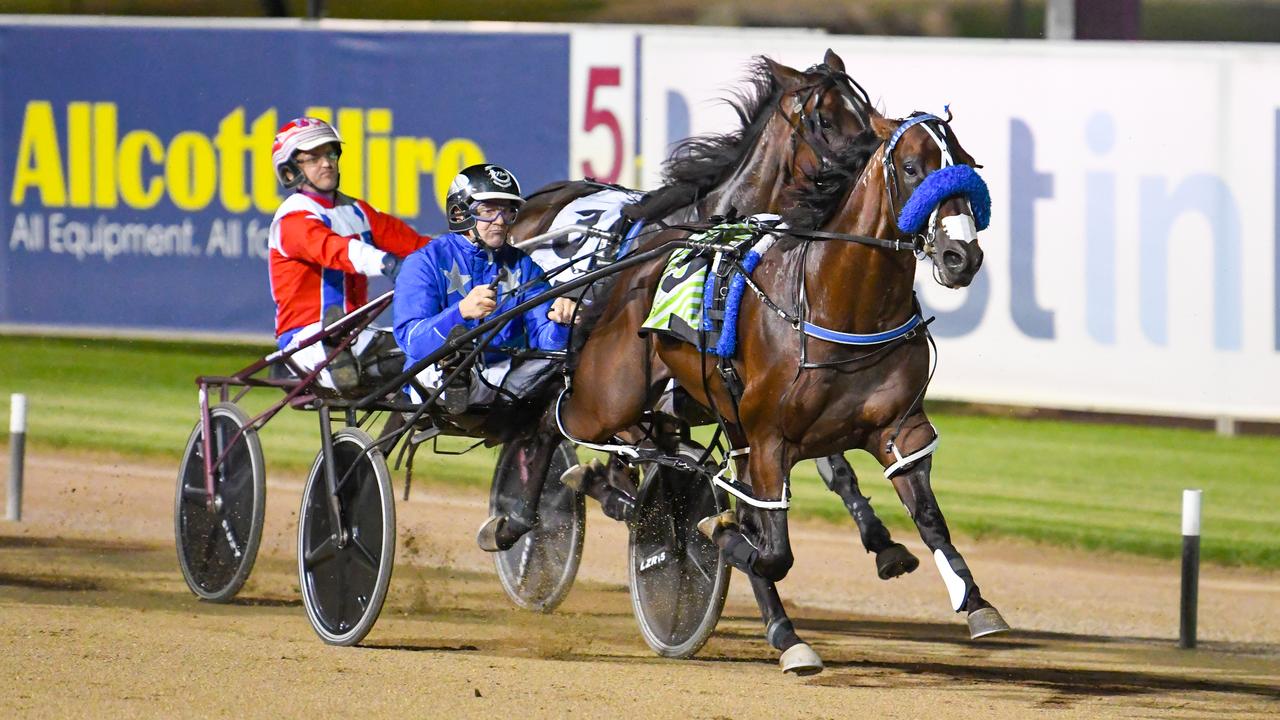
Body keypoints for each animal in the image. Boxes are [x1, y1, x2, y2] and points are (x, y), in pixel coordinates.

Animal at [558, 109, 998, 671]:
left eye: (965, 164)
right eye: (912, 167)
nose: (961, 255)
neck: (840, 306)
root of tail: (649, 247)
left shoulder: (899, 430)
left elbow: (929, 519)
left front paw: (976, 602)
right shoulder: (770, 440)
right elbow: (771, 551)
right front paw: (717, 531)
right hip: (612, 392)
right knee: (563, 419)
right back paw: (591, 480)